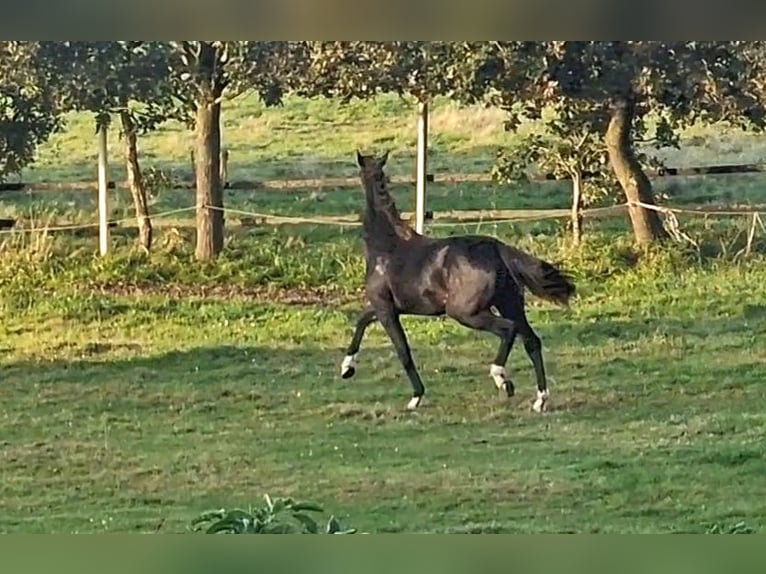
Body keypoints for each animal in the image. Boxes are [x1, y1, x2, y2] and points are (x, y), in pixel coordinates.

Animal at [342, 151, 576, 414]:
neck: (387, 245)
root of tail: (496, 249)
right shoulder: (390, 307)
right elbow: (362, 321)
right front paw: (347, 368)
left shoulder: (386, 309)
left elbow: (403, 351)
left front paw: (416, 397)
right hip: (509, 303)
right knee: (531, 341)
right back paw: (540, 400)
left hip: (465, 312)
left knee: (508, 330)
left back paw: (502, 379)